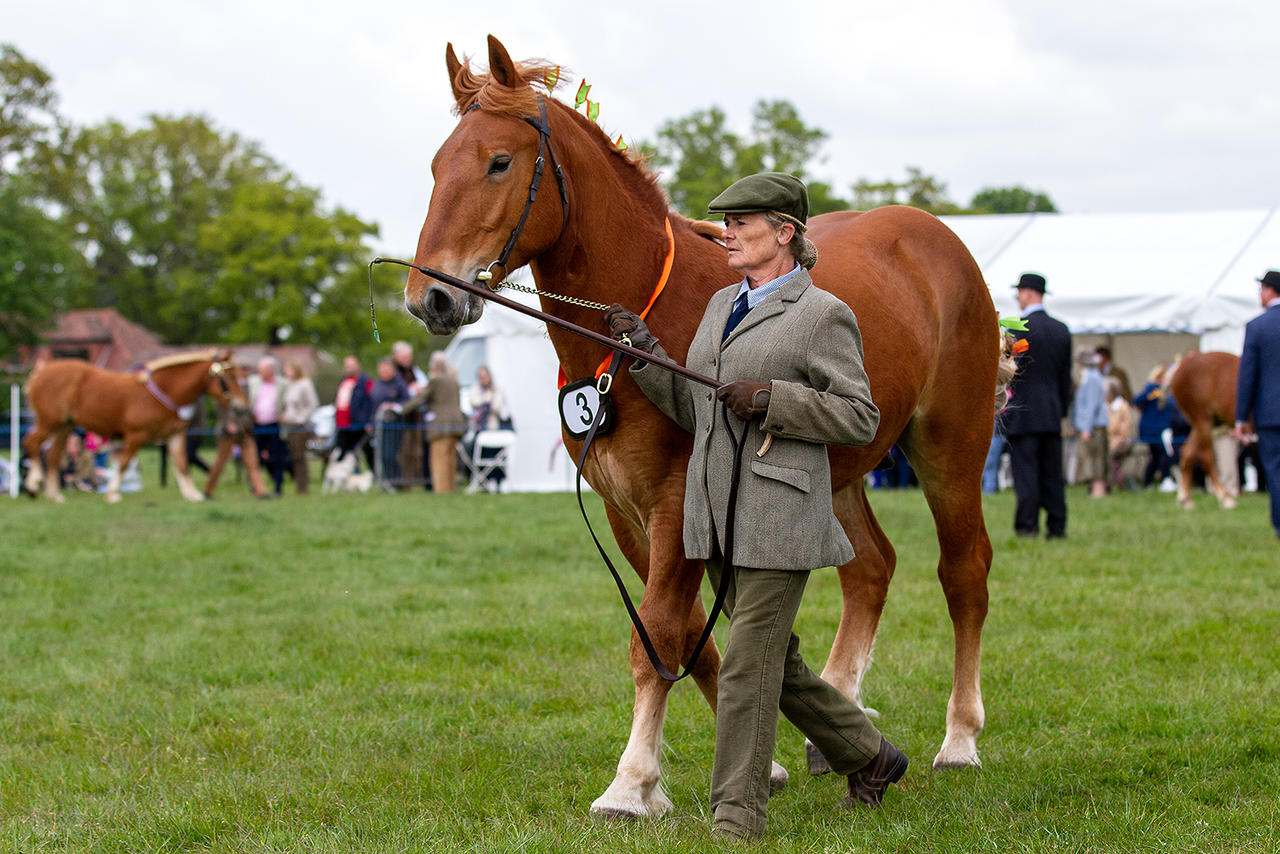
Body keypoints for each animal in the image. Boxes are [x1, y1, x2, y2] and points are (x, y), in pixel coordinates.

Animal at [22, 348, 241, 504]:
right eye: (230, 377)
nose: (241, 405)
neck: (165, 391)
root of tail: (40, 371)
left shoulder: (175, 434)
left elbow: (182, 464)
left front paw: (193, 494)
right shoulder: (136, 435)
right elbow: (124, 463)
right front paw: (112, 494)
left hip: (64, 426)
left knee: (52, 456)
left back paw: (54, 495)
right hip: (49, 421)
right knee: (32, 443)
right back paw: (33, 484)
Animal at [404, 36, 1013, 819]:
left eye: (499, 162)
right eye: (436, 166)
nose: (430, 298)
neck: (633, 322)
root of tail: (939, 239)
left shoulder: (673, 501)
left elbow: (661, 634)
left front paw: (632, 784)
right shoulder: (628, 511)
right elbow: (688, 630)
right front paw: (766, 760)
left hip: (951, 449)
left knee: (963, 572)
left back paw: (960, 739)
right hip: (835, 469)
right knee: (870, 569)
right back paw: (843, 728)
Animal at [1172, 353, 1239, 512]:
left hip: (1202, 423)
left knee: (1187, 452)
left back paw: (1185, 498)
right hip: (1203, 420)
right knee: (1205, 457)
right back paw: (1225, 498)